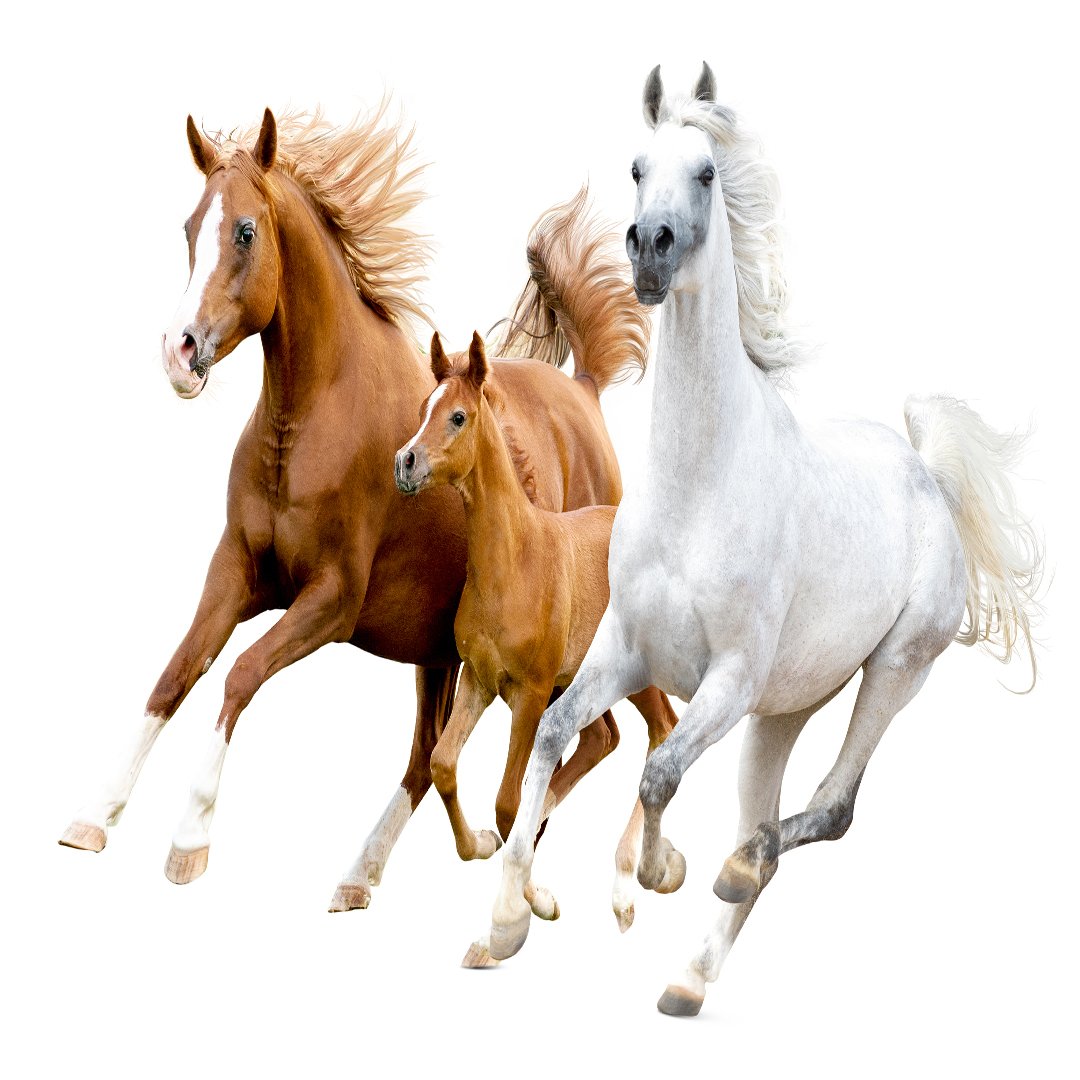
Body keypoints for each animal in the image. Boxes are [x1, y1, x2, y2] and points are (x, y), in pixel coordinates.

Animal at [57, 107, 678, 916]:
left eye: (246, 231)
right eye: (189, 227)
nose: (179, 351)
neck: (311, 420)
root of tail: (584, 390)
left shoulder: (331, 600)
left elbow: (239, 676)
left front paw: (189, 841)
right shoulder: (235, 573)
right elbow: (176, 674)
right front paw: (92, 818)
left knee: (585, 739)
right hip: (444, 653)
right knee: (440, 756)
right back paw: (376, 872)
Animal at [485, 63, 1042, 1016]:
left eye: (708, 173)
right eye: (636, 166)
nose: (650, 250)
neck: (698, 485)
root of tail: (928, 476)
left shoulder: (728, 677)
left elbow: (659, 773)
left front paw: (660, 870)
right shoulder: (626, 650)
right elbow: (556, 733)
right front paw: (504, 921)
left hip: (892, 672)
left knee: (829, 811)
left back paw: (734, 870)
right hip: (780, 714)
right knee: (769, 819)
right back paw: (688, 979)